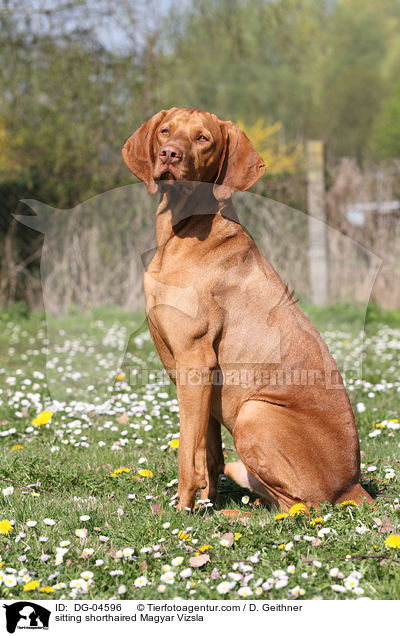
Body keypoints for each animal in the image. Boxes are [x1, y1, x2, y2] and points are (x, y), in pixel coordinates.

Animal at [122, 105, 372, 512]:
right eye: (165, 132)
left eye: (203, 139)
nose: (169, 155)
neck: (181, 232)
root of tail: (353, 486)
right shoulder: (201, 380)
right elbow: (208, 453)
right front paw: (204, 505)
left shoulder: (195, 359)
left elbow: (187, 454)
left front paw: (183, 510)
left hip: (254, 413)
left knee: (300, 508)